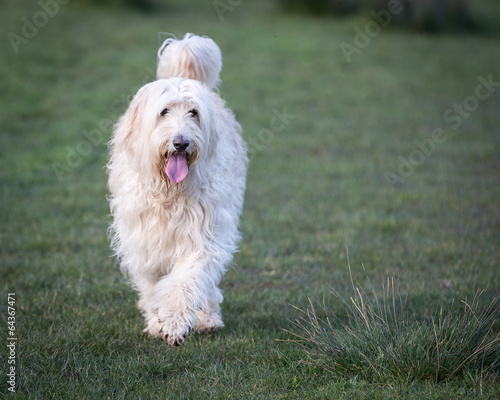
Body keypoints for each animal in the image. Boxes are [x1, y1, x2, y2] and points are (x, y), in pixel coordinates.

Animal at [110, 33, 250, 346]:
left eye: (193, 113)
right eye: (163, 111)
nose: (181, 142)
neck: (169, 194)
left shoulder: (203, 238)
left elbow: (186, 281)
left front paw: (174, 322)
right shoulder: (144, 244)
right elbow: (152, 287)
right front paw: (156, 322)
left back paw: (208, 319)